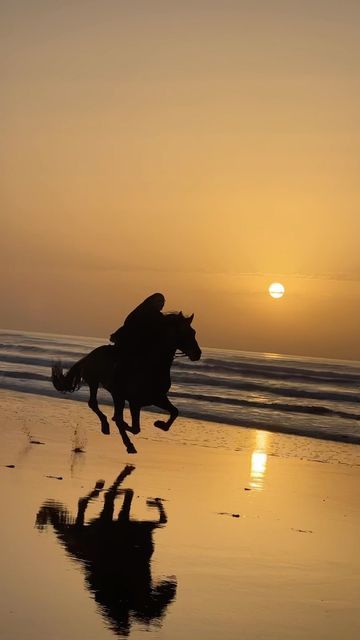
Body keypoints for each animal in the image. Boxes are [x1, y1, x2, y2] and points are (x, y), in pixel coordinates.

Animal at [35, 464, 176, 636]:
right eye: (159, 609)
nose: (173, 586)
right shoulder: (135, 525)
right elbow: (128, 498)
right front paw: (149, 499)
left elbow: (154, 514)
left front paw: (149, 499)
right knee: (90, 503)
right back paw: (106, 484)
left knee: (86, 505)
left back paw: (102, 487)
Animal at [51, 312, 202, 452]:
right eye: (186, 332)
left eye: (194, 332)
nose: (197, 353)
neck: (152, 366)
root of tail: (89, 355)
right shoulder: (135, 402)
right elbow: (134, 427)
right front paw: (127, 430)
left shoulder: (157, 398)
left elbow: (174, 412)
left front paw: (160, 424)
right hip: (96, 383)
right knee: (94, 404)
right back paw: (108, 428)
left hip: (117, 395)